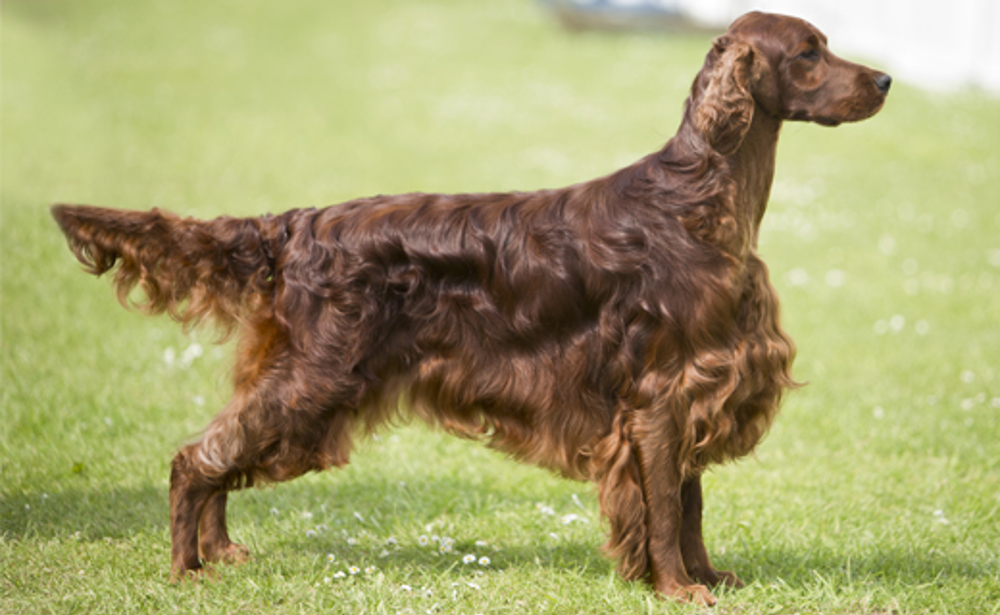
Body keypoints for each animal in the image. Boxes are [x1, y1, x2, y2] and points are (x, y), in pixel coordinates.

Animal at [50, 13, 888, 608]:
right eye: (808, 52)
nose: (883, 79)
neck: (703, 198)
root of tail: (294, 225)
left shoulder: (697, 386)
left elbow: (689, 501)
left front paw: (707, 576)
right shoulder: (662, 393)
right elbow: (664, 505)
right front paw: (679, 587)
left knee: (223, 450)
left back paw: (221, 552)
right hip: (319, 378)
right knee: (197, 456)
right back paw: (187, 569)